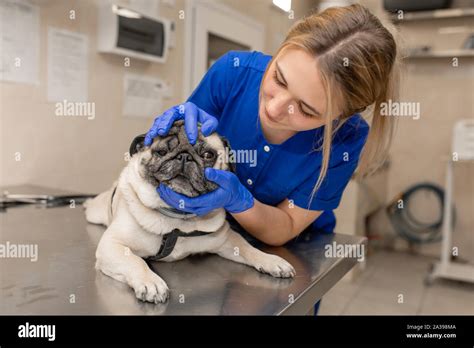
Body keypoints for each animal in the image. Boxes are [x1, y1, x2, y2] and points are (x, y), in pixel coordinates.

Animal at [83, 119, 294, 302]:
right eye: (161, 151)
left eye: (208, 155)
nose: (184, 156)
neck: (177, 217)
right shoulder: (112, 246)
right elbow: (136, 262)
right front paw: (150, 281)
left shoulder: (227, 239)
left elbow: (249, 249)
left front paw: (271, 260)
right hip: (96, 213)